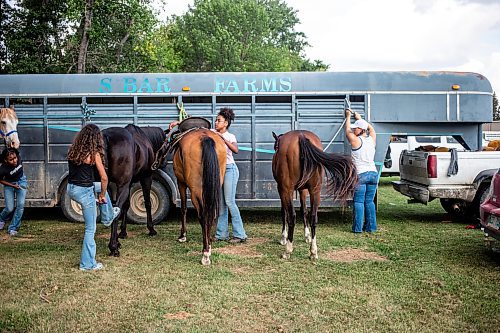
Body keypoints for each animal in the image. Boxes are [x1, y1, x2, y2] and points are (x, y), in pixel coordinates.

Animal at [102, 123, 167, 255]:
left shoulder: (129, 183)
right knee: (116, 209)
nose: (164, 163)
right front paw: (151, 229)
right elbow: (147, 202)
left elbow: (126, 205)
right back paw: (113, 247)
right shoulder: (146, 177)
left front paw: (122, 233)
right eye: (165, 146)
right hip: (122, 185)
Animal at [272, 129, 358, 260]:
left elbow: (284, 212)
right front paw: (307, 235)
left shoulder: (282, 189)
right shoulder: (303, 190)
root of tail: (301, 136)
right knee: (313, 217)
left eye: (276, 146)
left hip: (287, 189)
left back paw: (288, 250)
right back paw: (313, 251)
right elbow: (304, 211)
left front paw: (283, 237)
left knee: (292, 216)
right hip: (315, 190)